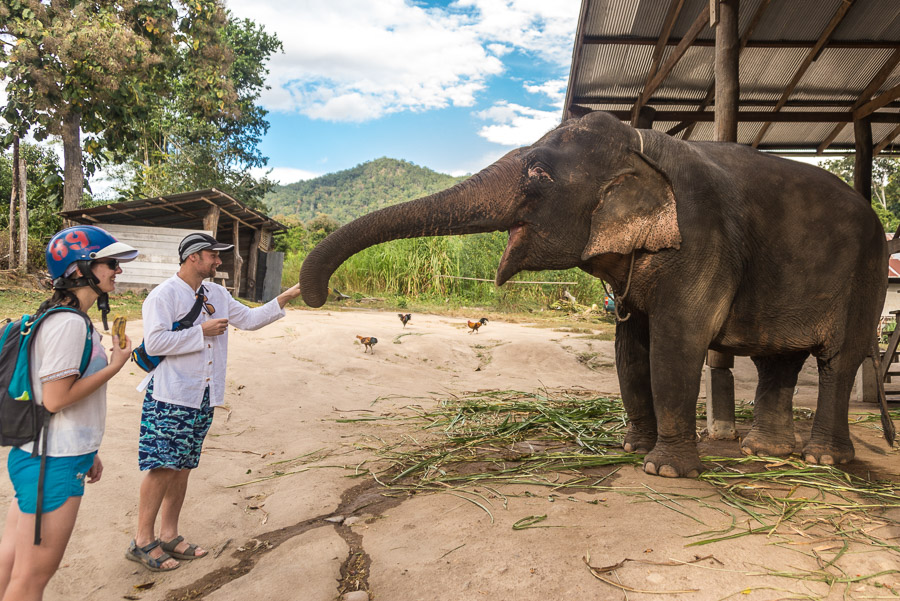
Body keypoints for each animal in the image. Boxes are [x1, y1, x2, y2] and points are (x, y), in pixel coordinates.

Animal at [300, 110, 892, 478]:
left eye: (538, 176)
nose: (316, 296)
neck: (641, 143)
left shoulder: (702, 240)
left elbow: (677, 344)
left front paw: (663, 470)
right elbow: (630, 347)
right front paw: (631, 448)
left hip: (867, 274)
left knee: (837, 362)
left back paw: (822, 462)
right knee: (779, 361)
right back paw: (765, 450)